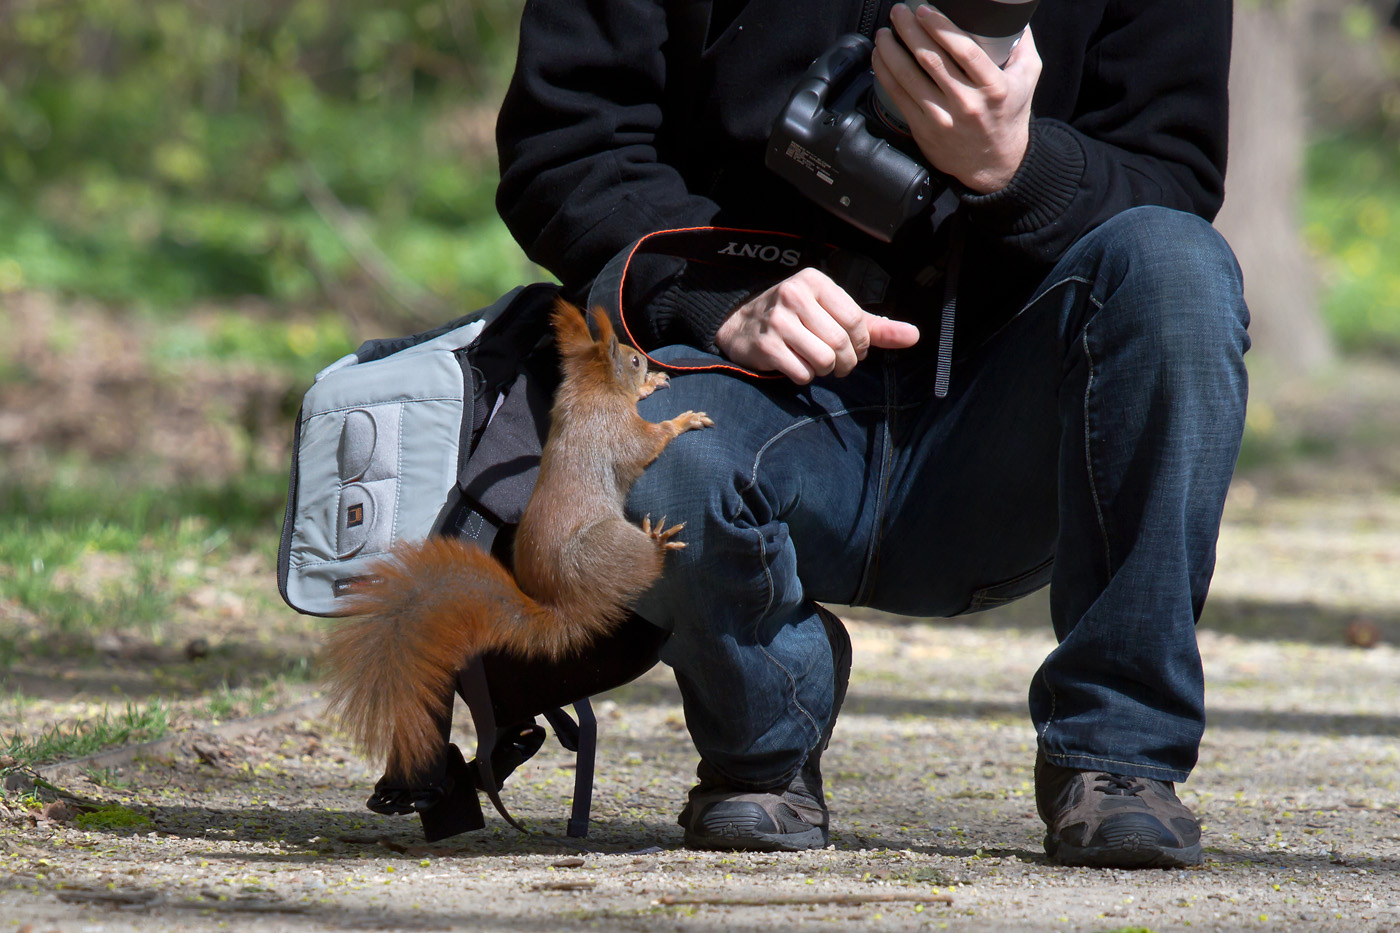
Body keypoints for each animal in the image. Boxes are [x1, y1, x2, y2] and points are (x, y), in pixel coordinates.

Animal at [317, 299, 711, 778]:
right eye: (632, 360)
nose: (647, 362)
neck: (590, 392)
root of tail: (566, 611)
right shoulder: (618, 432)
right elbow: (649, 441)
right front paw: (682, 419)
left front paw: (652, 387)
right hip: (610, 546)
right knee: (646, 566)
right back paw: (656, 543)